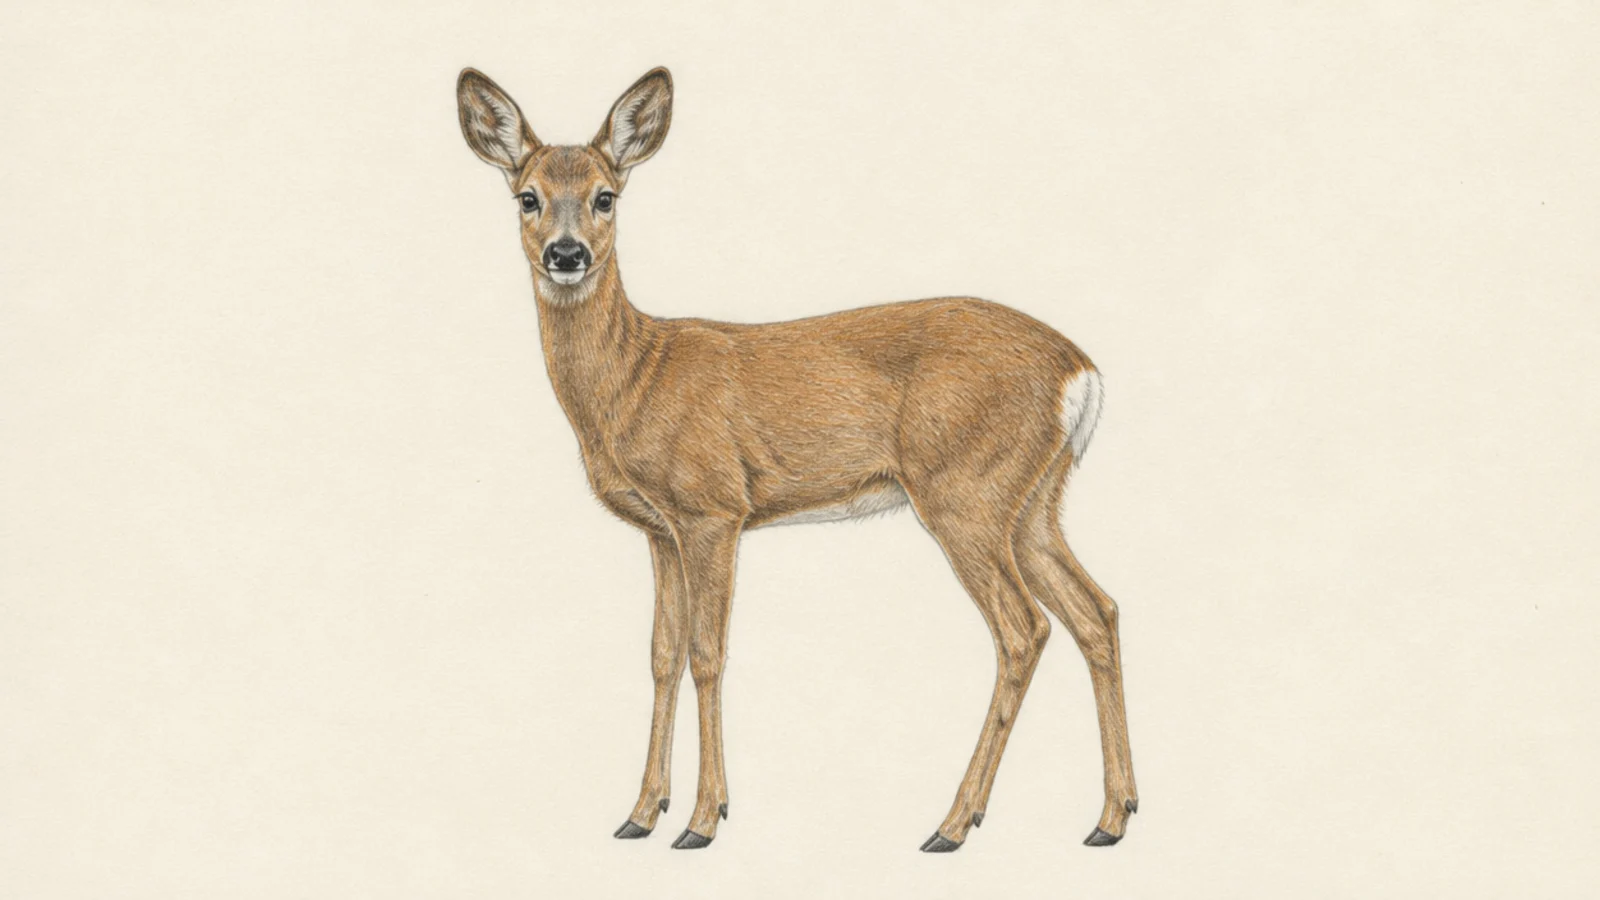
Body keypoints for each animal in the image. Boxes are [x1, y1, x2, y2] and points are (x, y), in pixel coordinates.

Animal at [455, 66, 1138, 853]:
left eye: (605, 196)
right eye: (527, 196)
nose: (567, 255)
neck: (634, 378)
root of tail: (1079, 372)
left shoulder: (713, 509)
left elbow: (706, 655)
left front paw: (702, 820)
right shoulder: (661, 529)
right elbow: (660, 655)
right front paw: (640, 813)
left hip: (965, 491)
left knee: (1025, 630)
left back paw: (953, 823)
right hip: (1033, 501)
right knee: (1097, 611)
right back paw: (1112, 817)